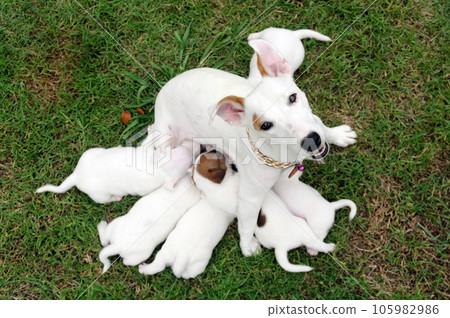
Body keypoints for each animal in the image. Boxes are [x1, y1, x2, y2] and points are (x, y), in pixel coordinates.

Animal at [35, 140, 195, 204]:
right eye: (176, 147)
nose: (196, 145)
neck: (159, 168)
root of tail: (76, 176)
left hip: (90, 153)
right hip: (99, 196)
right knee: (107, 200)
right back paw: (116, 197)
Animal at [190, 150, 334, 272]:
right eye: (214, 155)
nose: (216, 149)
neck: (216, 187)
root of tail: (282, 247)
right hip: (303, 226)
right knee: (316, 242)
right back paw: (330, 247)